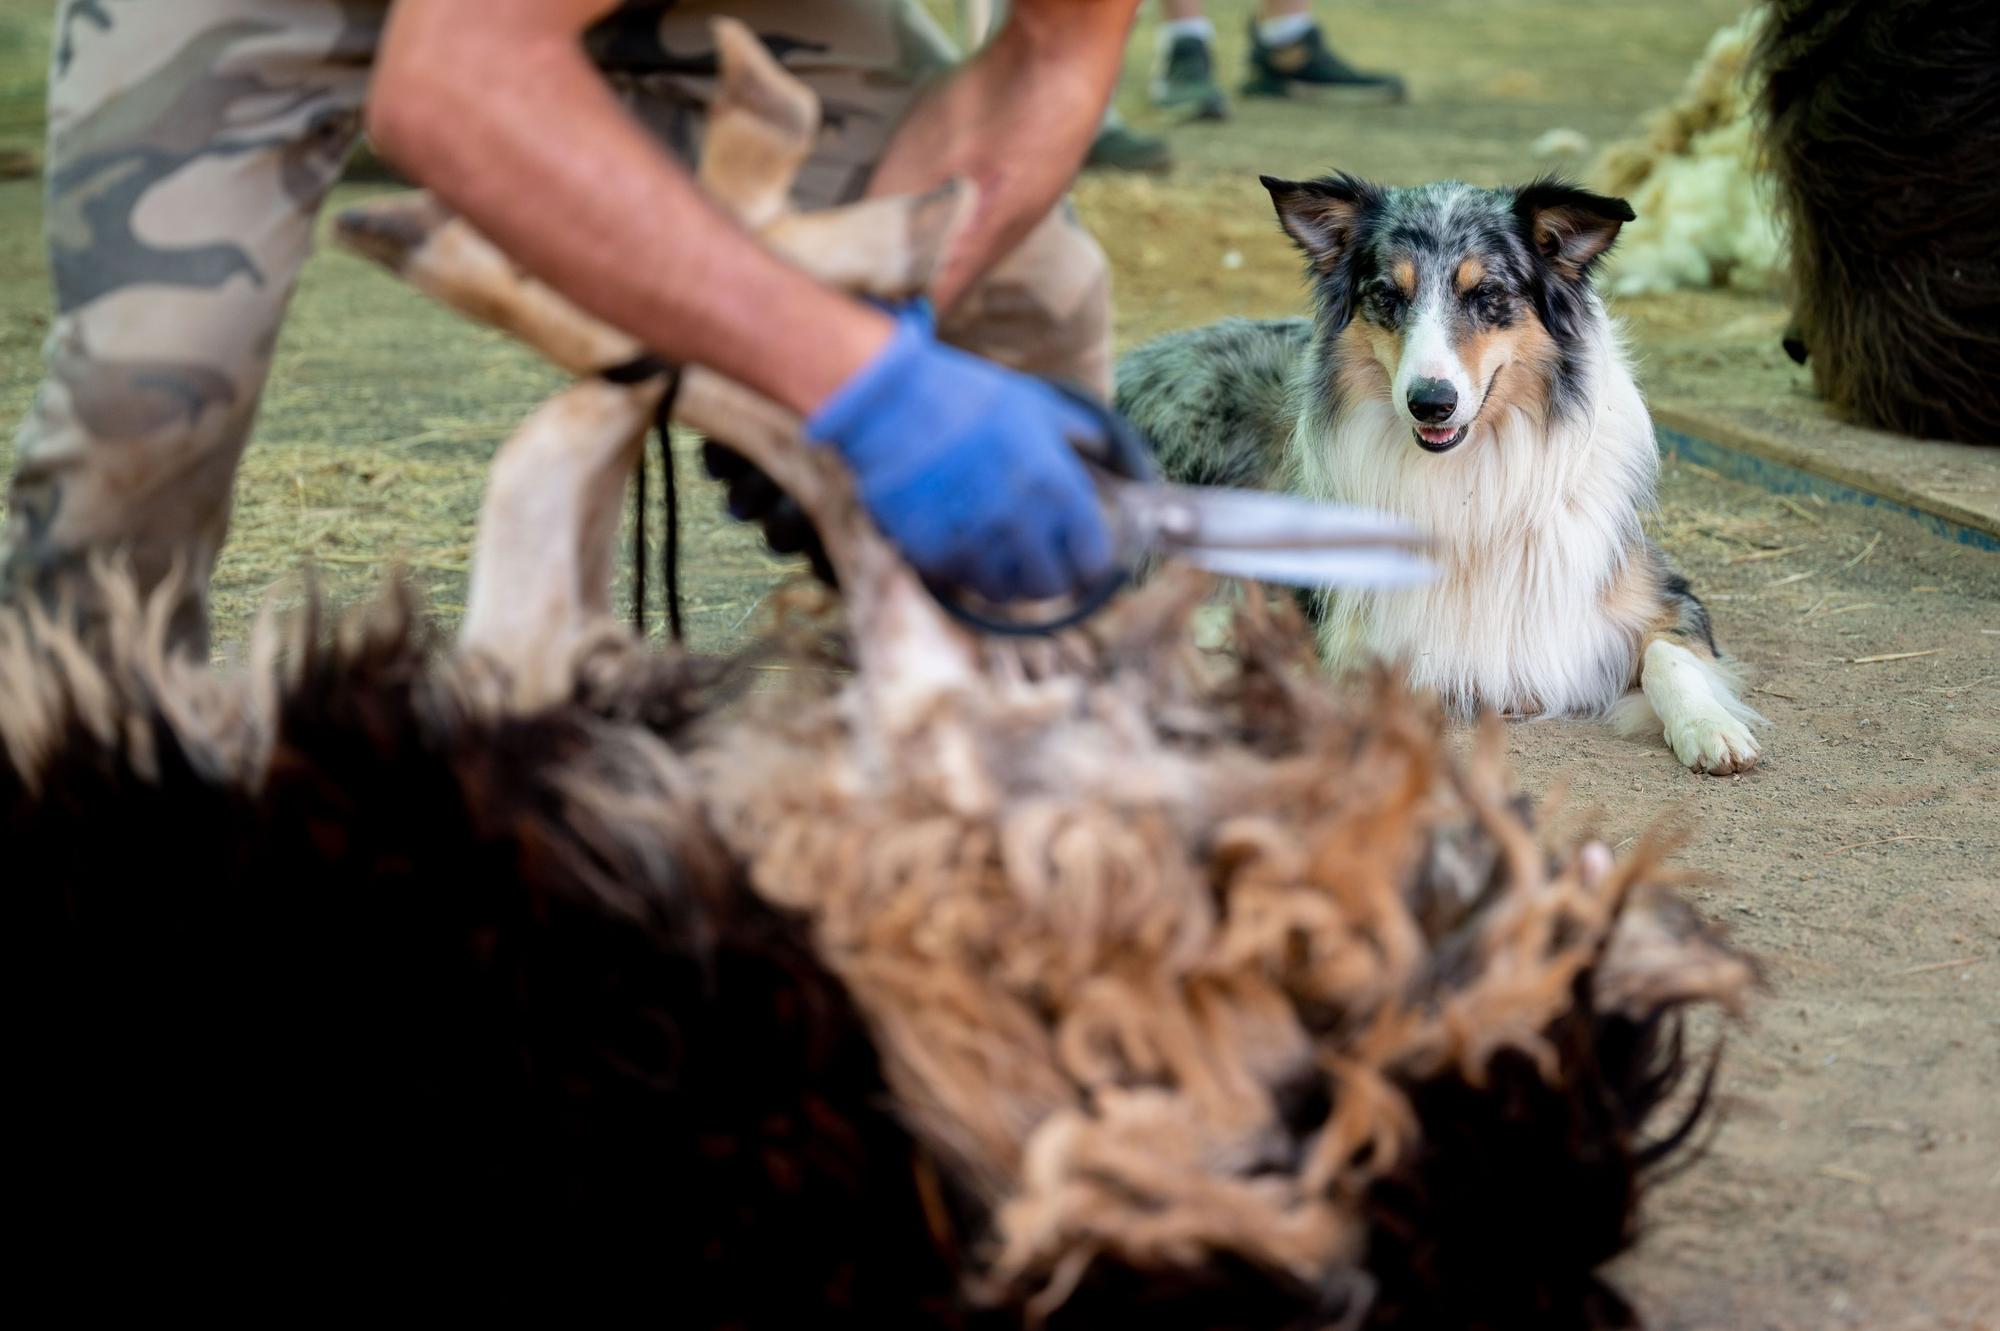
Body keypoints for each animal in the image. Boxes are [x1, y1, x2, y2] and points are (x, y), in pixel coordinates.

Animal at [1128, 170, 1768, 771]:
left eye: (1487, 293)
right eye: (1388, 295)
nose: (1430, 403)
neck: (1472, 474)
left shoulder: (1661, 593)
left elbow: (1669, 656)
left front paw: (1710, 727)